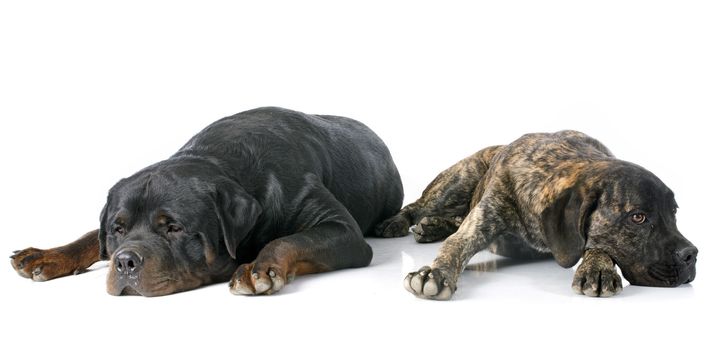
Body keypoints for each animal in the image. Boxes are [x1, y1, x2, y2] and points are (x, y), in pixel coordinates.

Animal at [11, 106, 404, 296]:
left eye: (174, 228)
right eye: (117, 229)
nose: (124, 262)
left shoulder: (342, 232)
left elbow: (289, 240)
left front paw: (260, 269)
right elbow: (90, 239)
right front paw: (47, 255)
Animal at [378, 130, 700, 300]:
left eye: (673, 212)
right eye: (638, 218)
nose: (691, 255)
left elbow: (599, 244)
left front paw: (597, 267)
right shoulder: (480, 221)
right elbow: (455, 245)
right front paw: (434, 273)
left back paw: (432, 226)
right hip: (457, 181)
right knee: (417, 206)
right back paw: (398, 222)